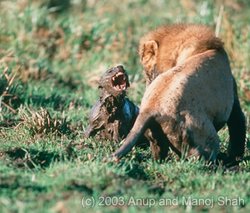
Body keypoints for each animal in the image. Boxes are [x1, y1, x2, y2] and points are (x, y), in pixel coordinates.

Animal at [112, 23, 246, 163]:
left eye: (148, 73)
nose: (148, 85)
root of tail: (149, 109)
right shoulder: (232, 96)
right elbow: (238, 123)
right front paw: (235, 156)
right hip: (205, 136)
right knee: (198, 158)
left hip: (155, 137)